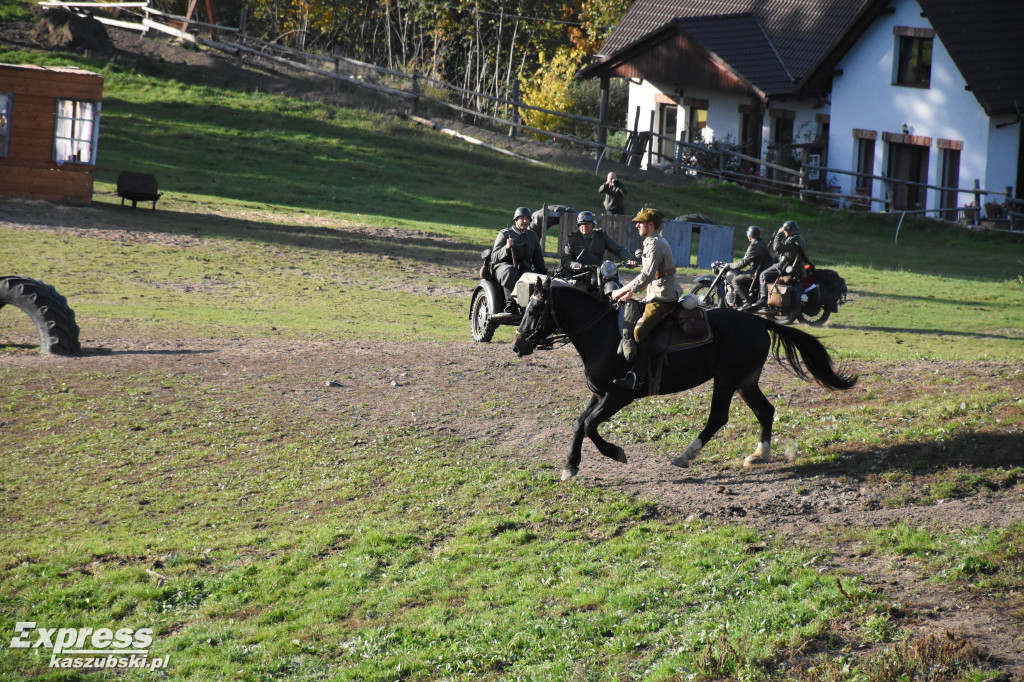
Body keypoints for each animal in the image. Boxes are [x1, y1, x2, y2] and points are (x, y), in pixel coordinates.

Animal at [512, 276, 856, 477]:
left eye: (534, 310)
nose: (517, 345)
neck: (603, 335)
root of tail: (758, 322)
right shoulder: (599, 393)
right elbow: (579, 423)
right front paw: (571, 465)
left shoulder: (619, 395)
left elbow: (590, 425)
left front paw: (615, 453)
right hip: (746, 381)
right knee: (765, 411)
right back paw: (759, 455)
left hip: (727, 379)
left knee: (718, 417)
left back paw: (685, 456)